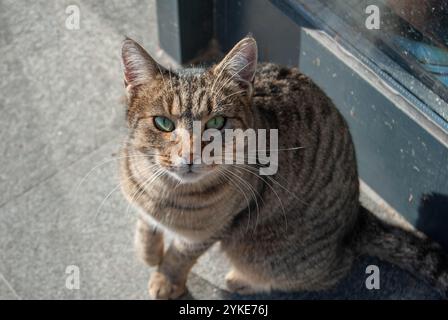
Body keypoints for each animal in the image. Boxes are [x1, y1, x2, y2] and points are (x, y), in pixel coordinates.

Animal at [120, 36, 448, 298]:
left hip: (264, 253)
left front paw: (166, 280)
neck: (165, 189)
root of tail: (356, 216)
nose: (189, 155)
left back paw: (243, 280)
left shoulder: (205, 235)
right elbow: (145, 222)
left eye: (217, 122)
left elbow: (178, 258)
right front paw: (148, 252)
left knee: (330, 269)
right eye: (164, 123)